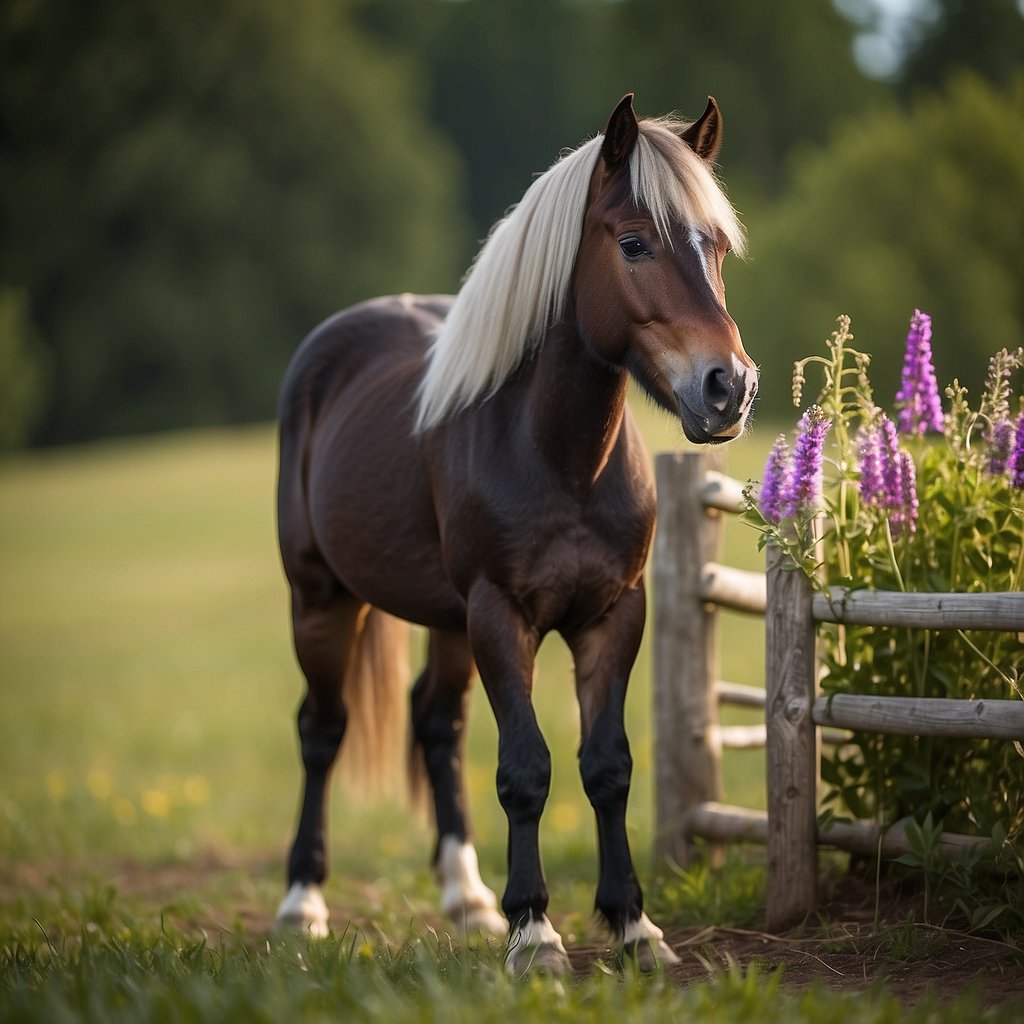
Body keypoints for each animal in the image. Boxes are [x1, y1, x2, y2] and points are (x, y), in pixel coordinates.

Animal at [273, 94, 757, 974]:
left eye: (715, 246)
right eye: (633, 243)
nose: (728, 387)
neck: (557, 458)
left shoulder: (613, 616)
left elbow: (608, 766)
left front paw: (633, 925)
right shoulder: (501, 617)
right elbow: (525, 769)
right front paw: (537, 932)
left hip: (444, 622)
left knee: (437, 724)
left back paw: (466, 898)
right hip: (322, 599)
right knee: (322, 732)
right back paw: (302, 903)